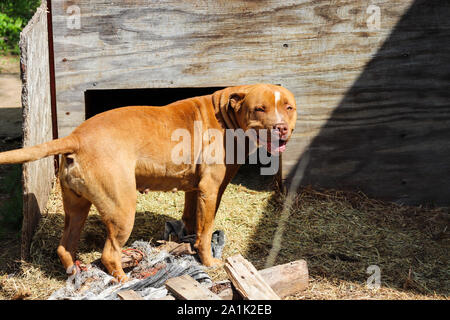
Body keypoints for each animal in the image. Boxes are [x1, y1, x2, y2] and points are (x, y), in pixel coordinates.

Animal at [0, 84, 298, 282]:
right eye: (259, 108)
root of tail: (76, 137)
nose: (281, 127)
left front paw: (186, 243)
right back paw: (124, 280)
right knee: (109, 254)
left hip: (77, 207)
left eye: (289, 107)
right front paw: (207, 259)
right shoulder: (211, 189)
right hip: (122, 209)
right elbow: (205, 231)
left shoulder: (194, 189)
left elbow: (191, 219)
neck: (226, 115)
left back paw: (76, 270)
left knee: (66, 245)